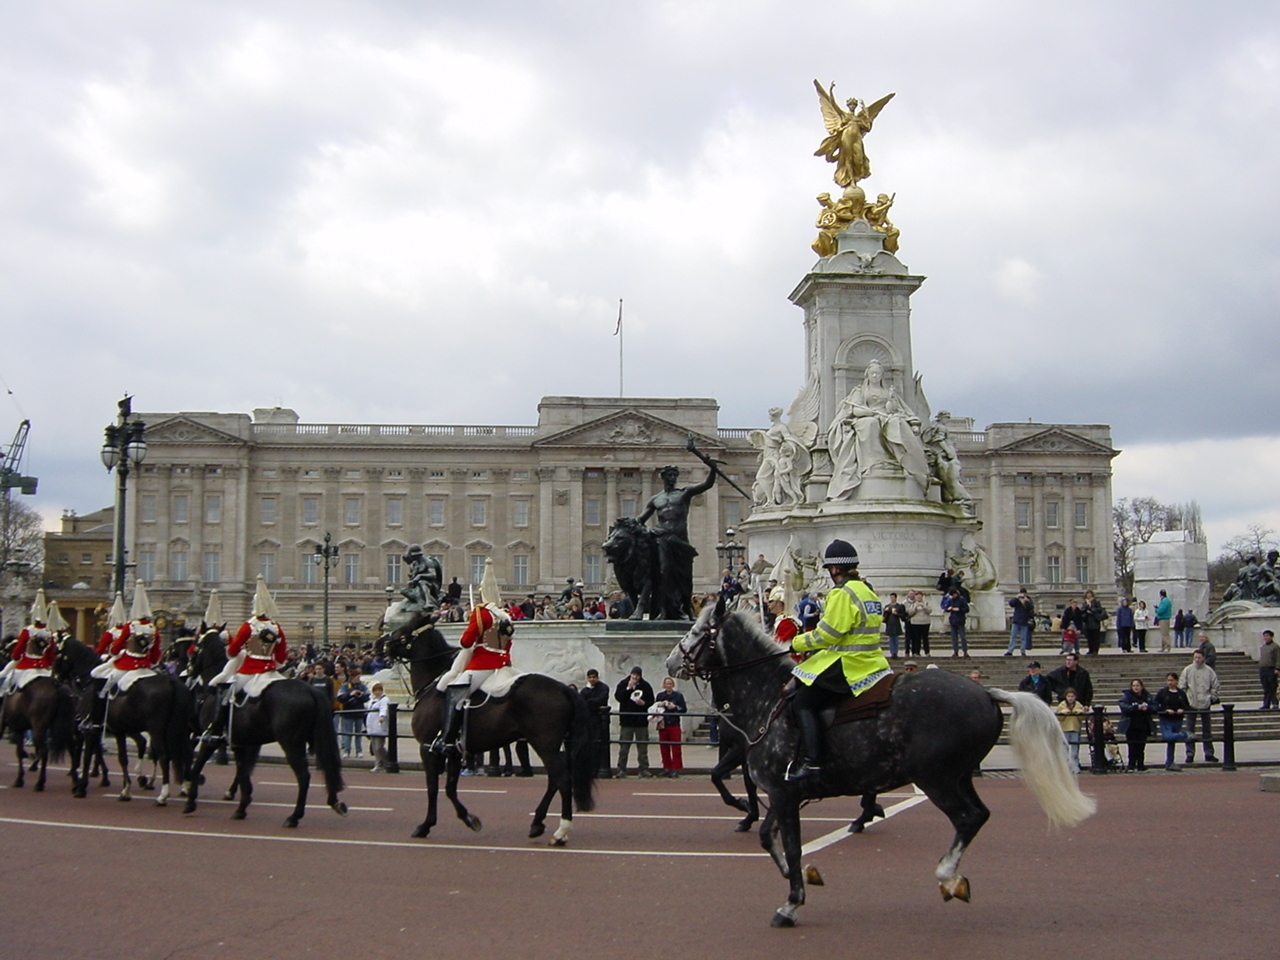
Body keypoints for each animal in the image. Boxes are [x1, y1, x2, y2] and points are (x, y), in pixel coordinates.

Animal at [183, 632, 348, 829]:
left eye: (194, 647)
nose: (188, 672)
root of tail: (311, 691)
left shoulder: (210, 740)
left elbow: (197, 766)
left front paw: (190, 801)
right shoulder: (239, 743)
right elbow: (243, 771)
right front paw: (241, 808)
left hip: (291, 743)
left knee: (303, 776)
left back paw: (294, 816)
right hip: (314, 739)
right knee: (328, 766)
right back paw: (335, 802)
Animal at [376, 611, 596, 844]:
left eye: (403, 631)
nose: (377, 644)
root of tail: (565, 689)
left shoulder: (428, 748)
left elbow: (432, 788)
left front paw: (426, 825)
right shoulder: (454, 750)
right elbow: (450, 788)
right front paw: (469, 818)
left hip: (544, 745)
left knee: (562, 779)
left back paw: (561, 832)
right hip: (555, 745)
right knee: (555, 780)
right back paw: (537, 824)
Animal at [665, 604, 1095, 926]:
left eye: (699, 630)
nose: (670, 662)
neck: (767, 698)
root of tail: (987, 692)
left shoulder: (785, 792)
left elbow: (789, 845)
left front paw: (791, 902)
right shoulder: (784, 792)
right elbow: (770, 840)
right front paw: (801, 875)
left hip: (936, 778)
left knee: (967, 817)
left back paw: (945, 875)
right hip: (958, 774)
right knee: (978, 814)